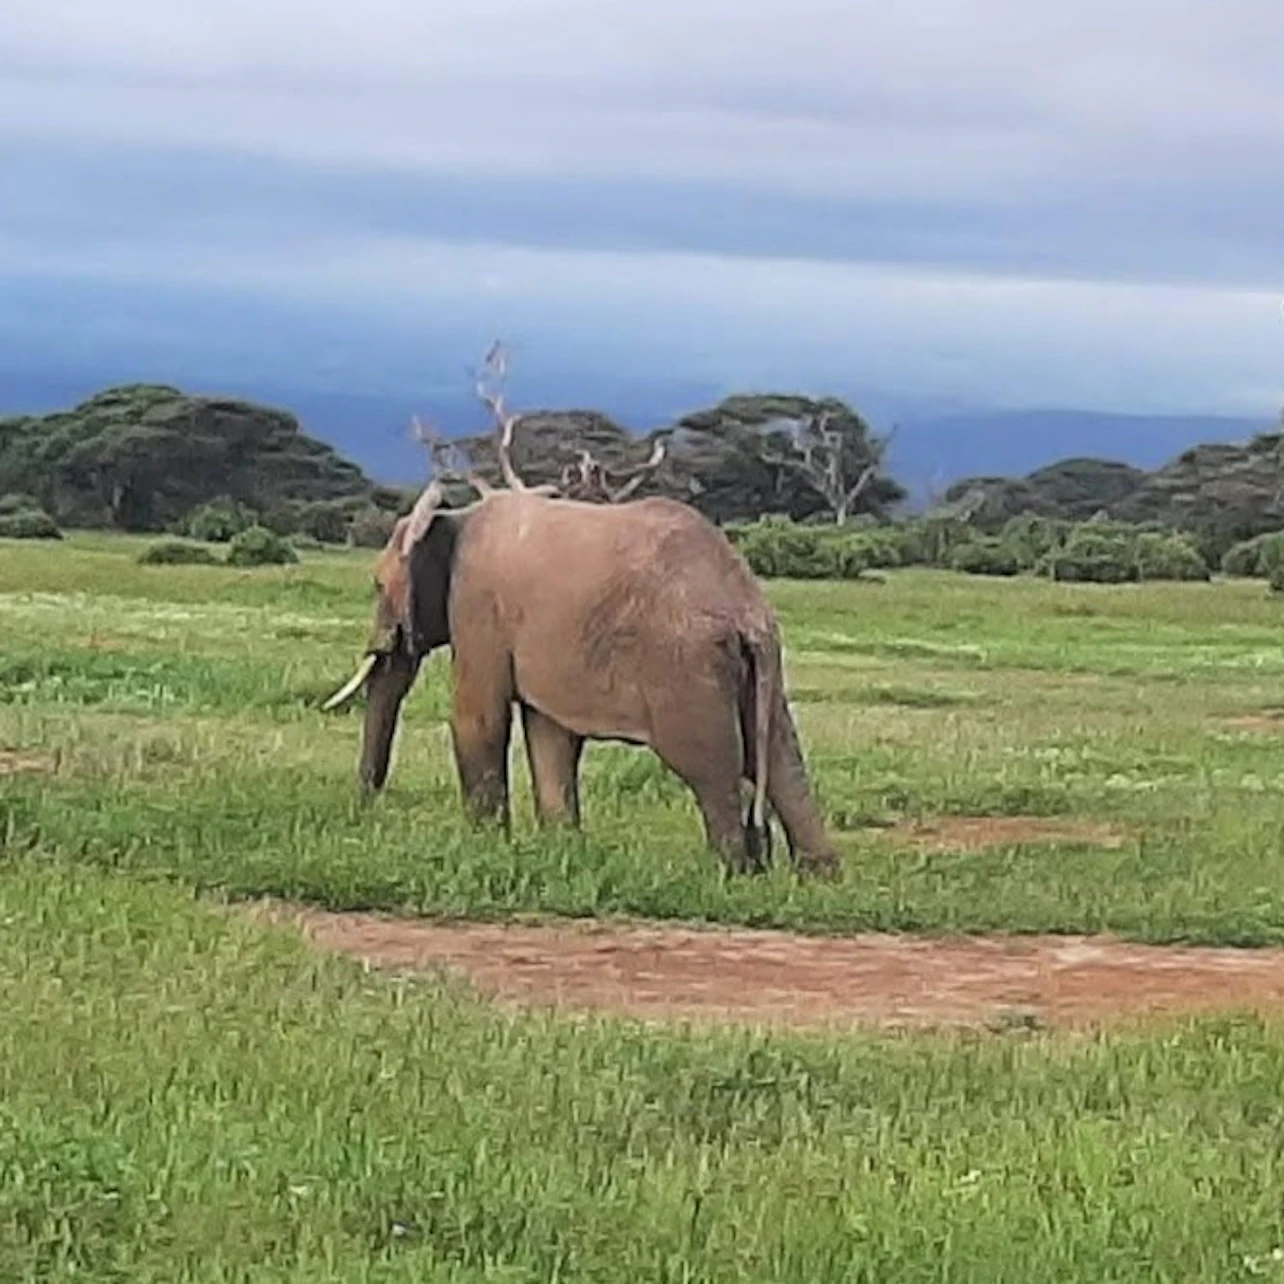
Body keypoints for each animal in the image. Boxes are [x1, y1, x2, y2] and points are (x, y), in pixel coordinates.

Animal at [323, 480, 841, 877]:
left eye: (376, 585)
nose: (364, 812)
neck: (452, 517)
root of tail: (746, 607)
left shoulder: (478, 607)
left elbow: (478, 720)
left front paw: (484, 847)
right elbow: (550, 734)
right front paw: (560, 850)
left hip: (687, 668)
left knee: (710, 767)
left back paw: (732, 873)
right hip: (755, 669)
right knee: (782, 761)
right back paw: (814, 878)